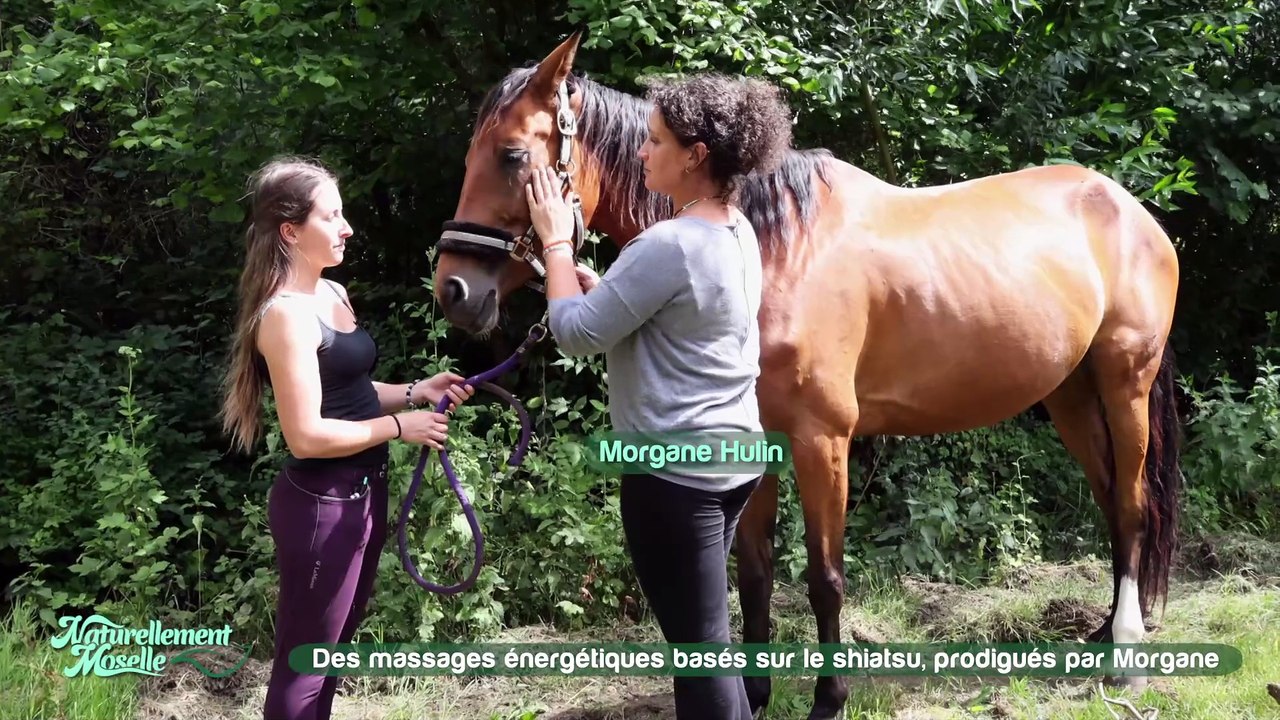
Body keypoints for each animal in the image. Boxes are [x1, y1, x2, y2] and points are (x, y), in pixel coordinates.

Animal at [429, 33, 1182, 720]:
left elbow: (824, 577)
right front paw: (758, 694)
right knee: (1111, 499)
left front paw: (829, 699)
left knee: (1130, 503)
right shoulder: (757, 438)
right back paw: (1101, 633)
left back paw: (1125, 651)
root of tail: (1130, 209)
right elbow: (755, 573)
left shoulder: (823, 441)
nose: (455, 292)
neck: (773, 248)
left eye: (513, 155)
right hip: (1069, 395)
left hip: (1124, 383)